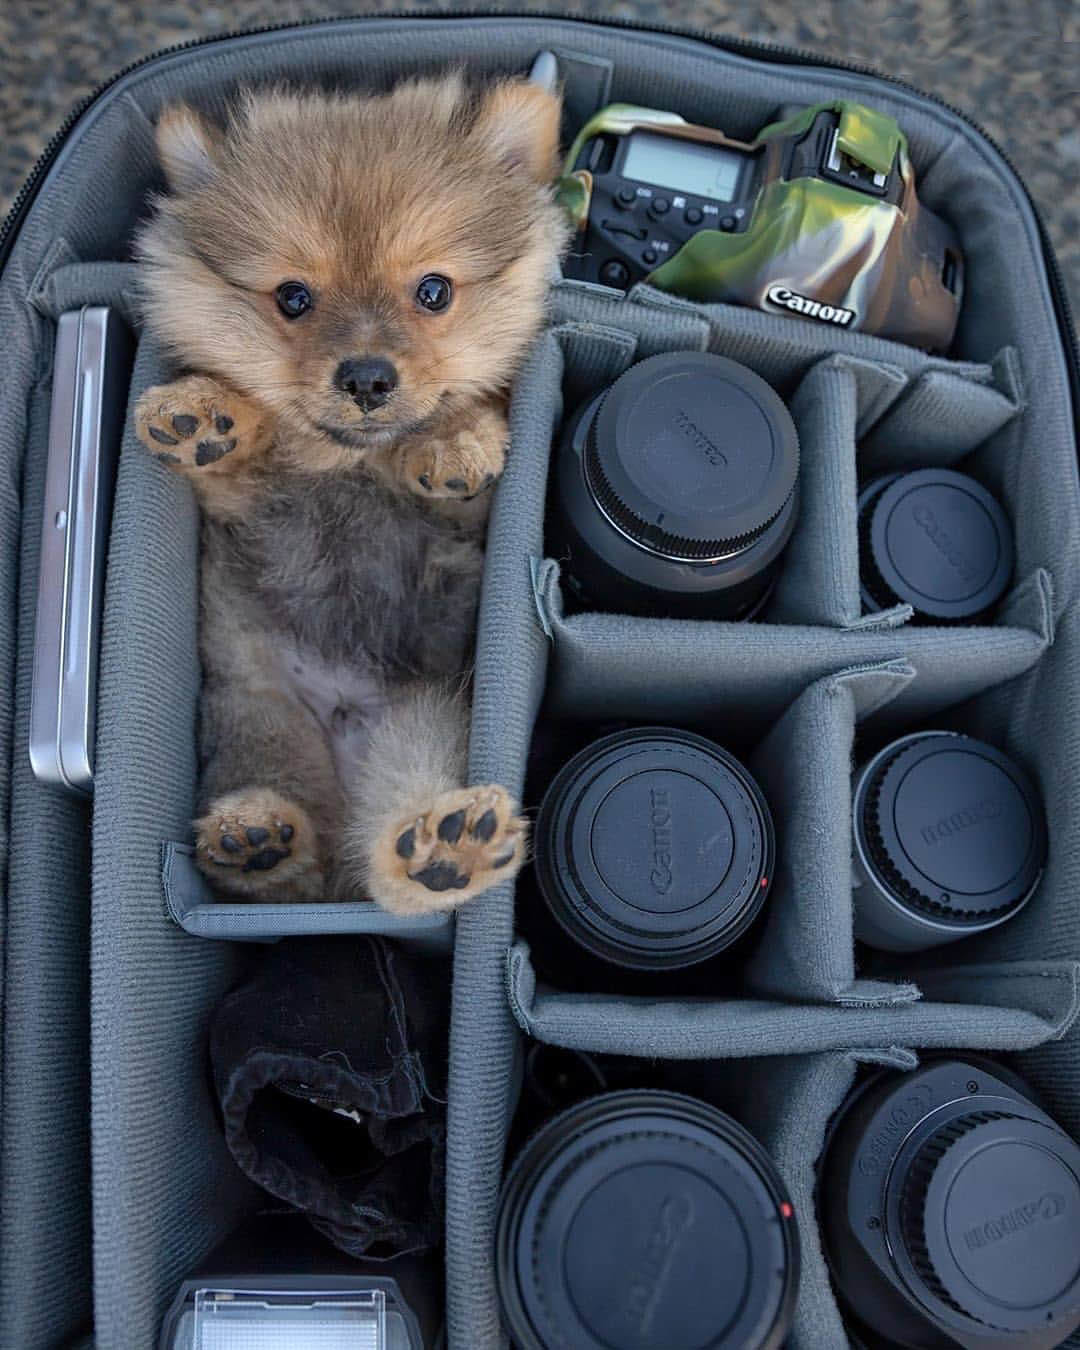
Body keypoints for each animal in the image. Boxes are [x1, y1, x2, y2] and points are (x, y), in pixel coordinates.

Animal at [133, 76, 569, 918]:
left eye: (433, 291)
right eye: (293, 298)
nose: (367, 377)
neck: (352, 467)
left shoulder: (469, 529)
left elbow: (464, 456)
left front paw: (455, 442)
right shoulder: (244, 510)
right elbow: (242, 460)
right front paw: (205, 414)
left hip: (423, 724)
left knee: (388, 856)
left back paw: (442, 850)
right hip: (260, 719)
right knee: (295, 866)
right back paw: (258, 840)